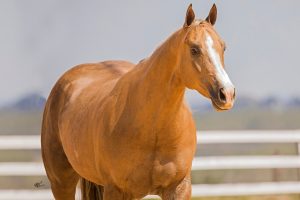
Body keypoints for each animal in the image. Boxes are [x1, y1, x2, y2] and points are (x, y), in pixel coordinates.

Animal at [41, 3, 234, 200]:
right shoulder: (116, 190)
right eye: (194, 49)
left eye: (223, 47)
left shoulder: (178, 188)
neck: (153, 127)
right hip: (61, 183)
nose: (227, 93)